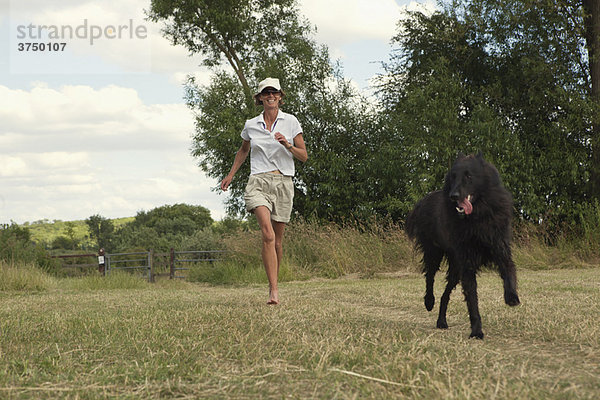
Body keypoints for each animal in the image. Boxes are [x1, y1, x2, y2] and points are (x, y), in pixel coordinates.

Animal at [404, 152, 520, 338]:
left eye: (469, 176)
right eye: (453, 177)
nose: (453, 196)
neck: (477, 217)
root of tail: (423, 201)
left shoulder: (500, 249)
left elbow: (508, 271)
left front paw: (511, 297)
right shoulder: (467, 265)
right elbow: (472, 300)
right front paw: (476, 331)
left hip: (455, 269)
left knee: (445, 294)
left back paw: (441, 321)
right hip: (434, 253)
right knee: (429, 278)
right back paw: (429, 301)